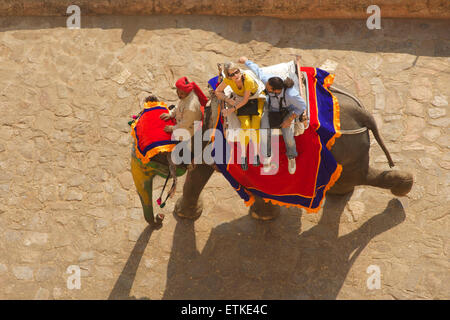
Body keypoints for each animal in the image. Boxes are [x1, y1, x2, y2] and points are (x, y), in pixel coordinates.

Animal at [129, 76, 412, 226]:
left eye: (150, 163)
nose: (160, 219)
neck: (207, 108)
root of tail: (364, 114)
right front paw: (264, 216)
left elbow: (200, 173)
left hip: (347, 146)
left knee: (359, 175)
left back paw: (402, 187)